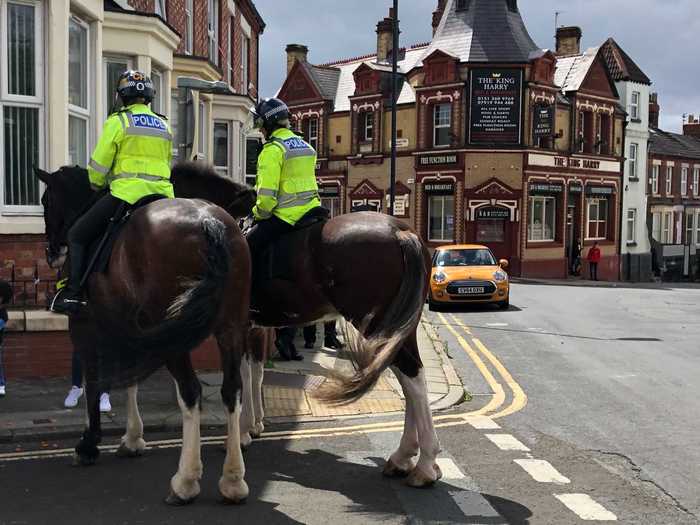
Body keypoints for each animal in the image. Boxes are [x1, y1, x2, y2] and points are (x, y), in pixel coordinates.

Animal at [35, 168, 253, 504]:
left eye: (46, 201)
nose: (51, 252)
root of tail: (209, 223)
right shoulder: (132, 326)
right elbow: (131, 381)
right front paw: (133, 438)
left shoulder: (87, 324)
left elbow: (94, 378)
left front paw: (89, 443)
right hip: (230, 327)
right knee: (232, 390)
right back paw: (232, 480)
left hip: (174, 333)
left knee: (191, 392)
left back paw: (185, 481)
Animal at [172, 162, 440, 486]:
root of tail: (401, 232)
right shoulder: (255, 326)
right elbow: (256, 373)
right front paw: (255, 424)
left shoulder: (236, 325)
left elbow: (243, 376)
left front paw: (243, 433)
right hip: (397, 327)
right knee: (411, 377)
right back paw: (404, 456)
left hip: (376, 323)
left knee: (411, 377)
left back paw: (424, 464)